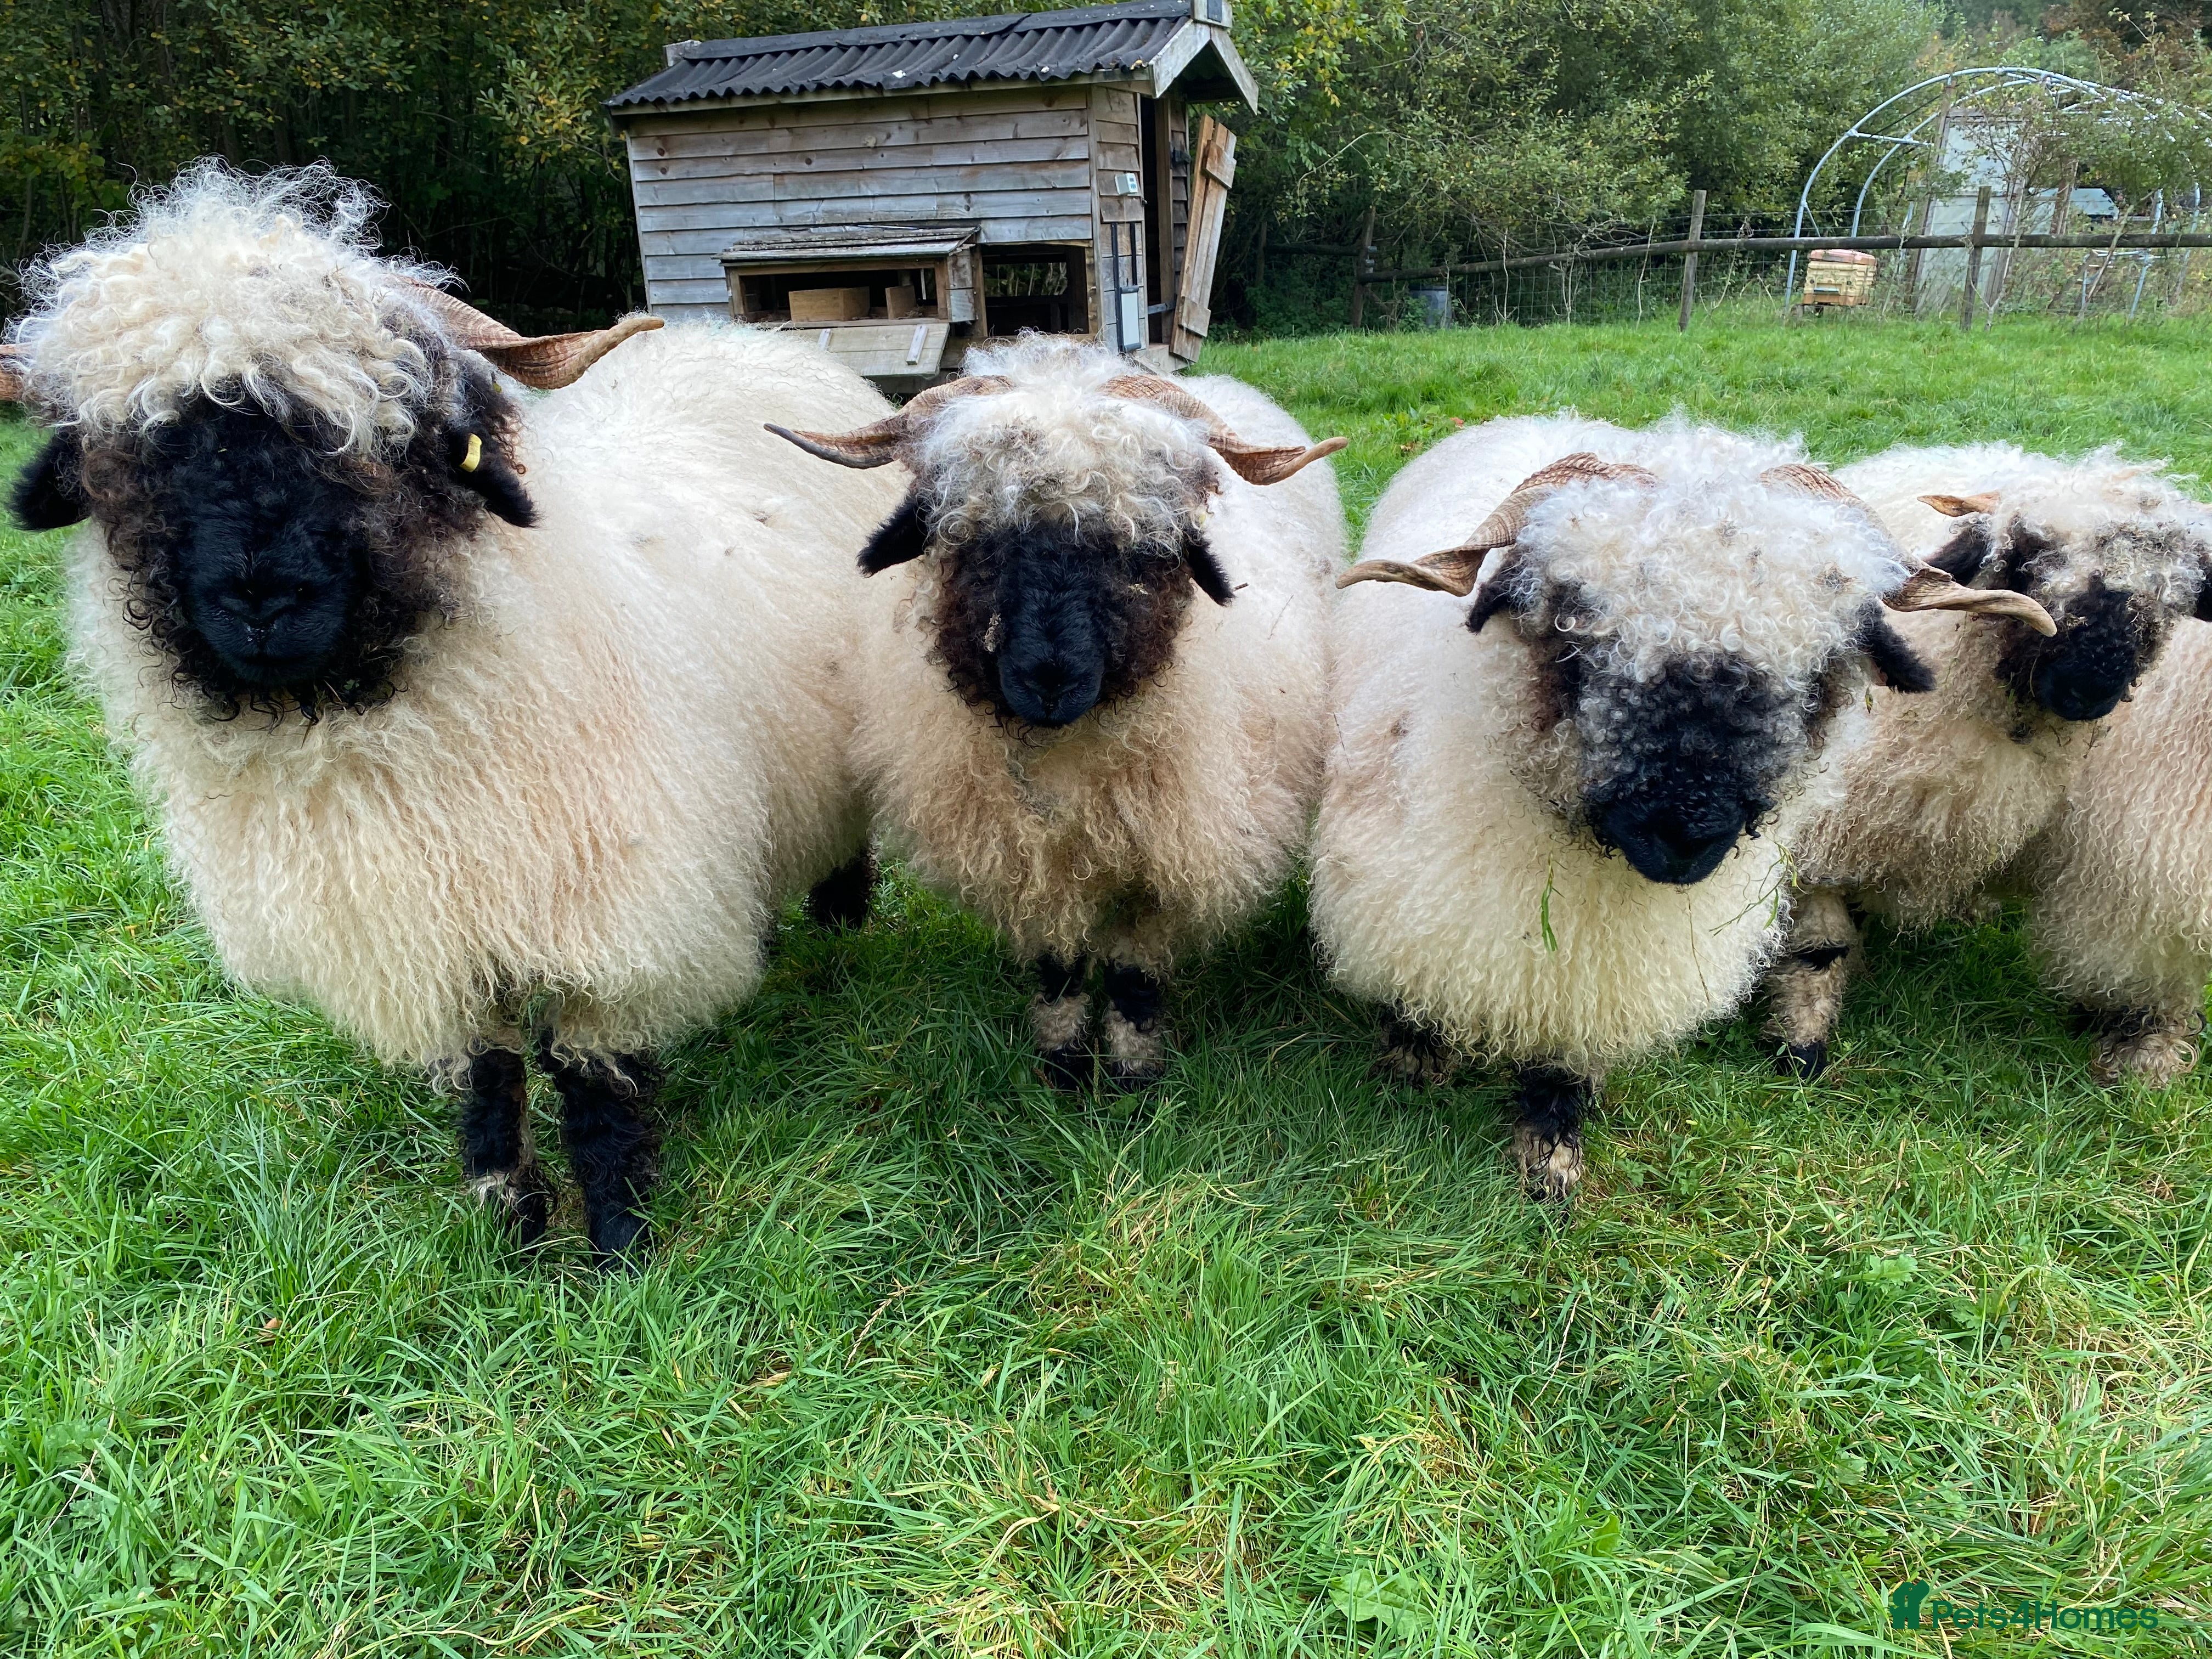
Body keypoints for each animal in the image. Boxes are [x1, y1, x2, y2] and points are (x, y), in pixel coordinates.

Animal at [5, 163, 906, 1263]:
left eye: (383, 442)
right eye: (131, 460)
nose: (263, 601)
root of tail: (747, 340)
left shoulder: (610, 910)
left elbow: (593, 1086)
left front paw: (619, 1245)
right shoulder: (431, 932)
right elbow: (490, 1077)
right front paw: (508, 1220)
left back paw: (840, 923)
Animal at [770, 337, 1345, 1088]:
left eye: (1146, 551)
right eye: (968, 539)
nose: (1050, 681)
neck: (1069, 759)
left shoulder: (1168, 855)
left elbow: (1133, 973)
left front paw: (1132, 1076)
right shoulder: (1031, 858)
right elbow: (1060, 963)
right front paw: (1064, 1065)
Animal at [1309, 413, 2049, 1200]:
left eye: (1821, 672)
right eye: (1573, 637)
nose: (1686, 832)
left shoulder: (1606, 972)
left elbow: (1566, 1059)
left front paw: (1551, 1154)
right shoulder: (1405, 891)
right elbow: (1415, 987)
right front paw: (1412, 1061)